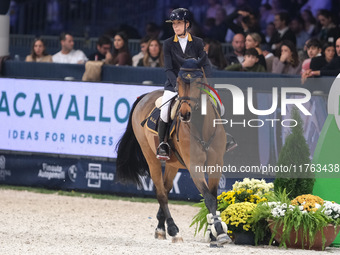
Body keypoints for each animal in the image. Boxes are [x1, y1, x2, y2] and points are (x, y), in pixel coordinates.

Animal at [115, 58, 230, 247]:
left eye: (198, 81)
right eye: (178, 81)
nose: (184, 114)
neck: (201, 126)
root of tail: (144, 97)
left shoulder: (216, 163)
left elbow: (214, 196)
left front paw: (213, 233)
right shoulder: (194, 166)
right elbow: (208, 197)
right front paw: (220, 232)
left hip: (173, 163)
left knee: (166, 188)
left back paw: (161, 228)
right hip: (151, 157)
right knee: (161, 193)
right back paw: (174, 230)